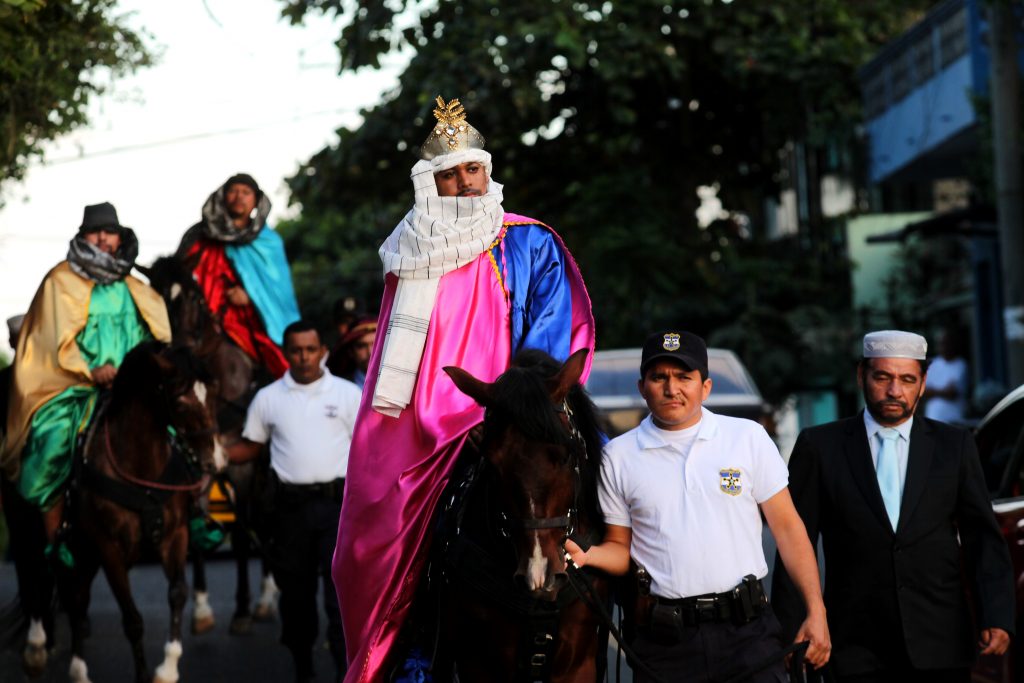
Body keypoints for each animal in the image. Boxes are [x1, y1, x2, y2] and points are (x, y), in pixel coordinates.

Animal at [35, 341, 223, 683]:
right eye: (180, 400)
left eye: (213, 393)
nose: (212, 461)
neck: (141, 470)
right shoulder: (109, 550)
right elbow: (132, 620)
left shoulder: (175, 537)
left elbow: (178, 593)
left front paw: (167, 668)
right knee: (62, 592)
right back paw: (60, 661)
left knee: (78, 600)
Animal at [143, 255, 278, 635]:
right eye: (155, 296)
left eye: (195, 298)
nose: (178, 350)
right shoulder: (196, 468)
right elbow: (195, 530)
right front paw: (202, 608)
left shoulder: (242, 467)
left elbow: (244, 532)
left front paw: (243, 609)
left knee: (261, 522)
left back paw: (265, 598)